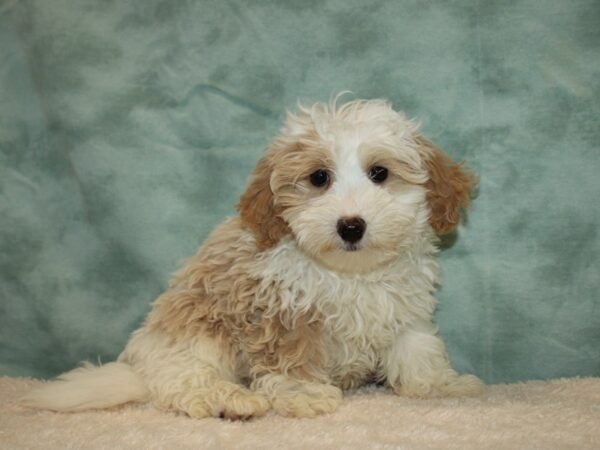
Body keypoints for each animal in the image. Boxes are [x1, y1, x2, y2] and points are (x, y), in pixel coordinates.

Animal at [21, 97, 486, 418]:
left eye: (380, 173)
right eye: (319, 178)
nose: (351, 225)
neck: (351, 273)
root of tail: (138, 367)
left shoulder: (404, 307)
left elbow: (417, 348)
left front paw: (440, 385)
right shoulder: (282, 311)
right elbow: (291, 358)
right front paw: (304, 394)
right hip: (196, 336)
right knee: (180, 380)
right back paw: (229, 399)